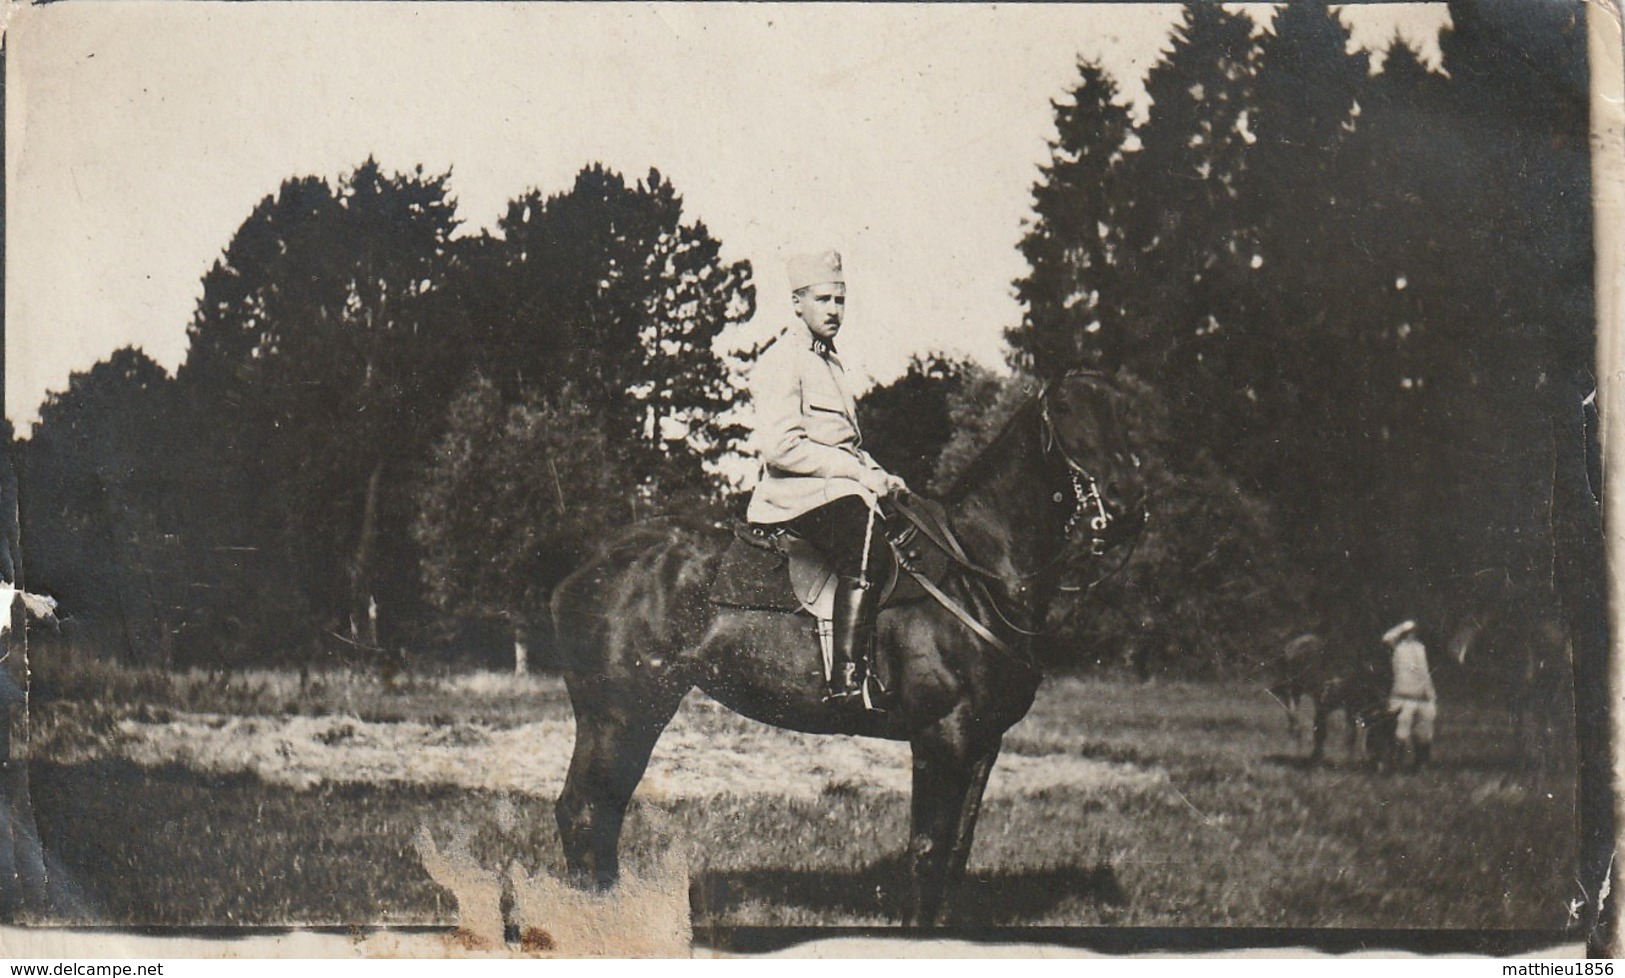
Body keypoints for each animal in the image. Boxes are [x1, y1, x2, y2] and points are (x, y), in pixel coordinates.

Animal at [552, 367, 1150, 922]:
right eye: (1065, 410)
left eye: (1122, 410)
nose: (1126, 507)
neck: (976, 575)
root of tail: (591, 563)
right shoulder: (941, 737)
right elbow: (926, 852)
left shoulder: (985, 742)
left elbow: (956, 854)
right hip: (621, 713)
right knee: (585, 809)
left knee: (598, 810)